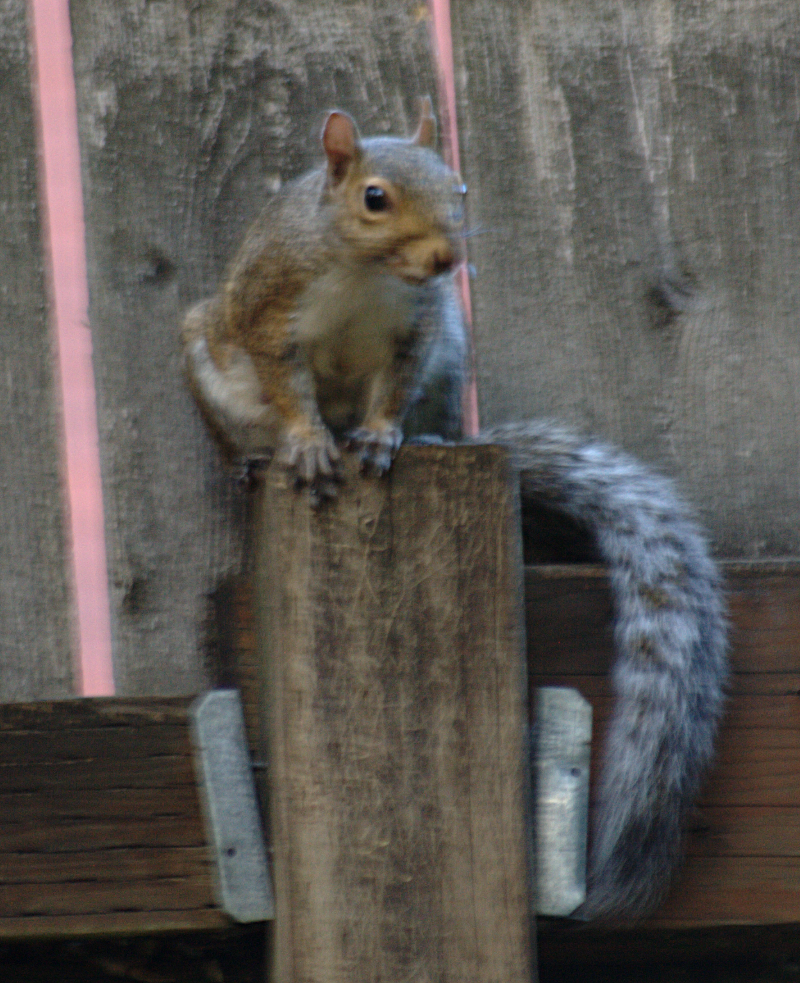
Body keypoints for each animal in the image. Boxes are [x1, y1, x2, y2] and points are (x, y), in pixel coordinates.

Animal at [181, 101, 728, 920]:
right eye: (374, 197)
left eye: (460, 188)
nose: (444, 259)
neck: (364, 275)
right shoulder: (271, 309)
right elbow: (289, 389)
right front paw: (307, 441)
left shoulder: (419, 331)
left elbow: (391, 391)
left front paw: (381, 435)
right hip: (208, 357)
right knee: (245, 422)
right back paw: (258, 459)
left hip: (451, 361)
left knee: (427, 411)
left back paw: (427, 438)